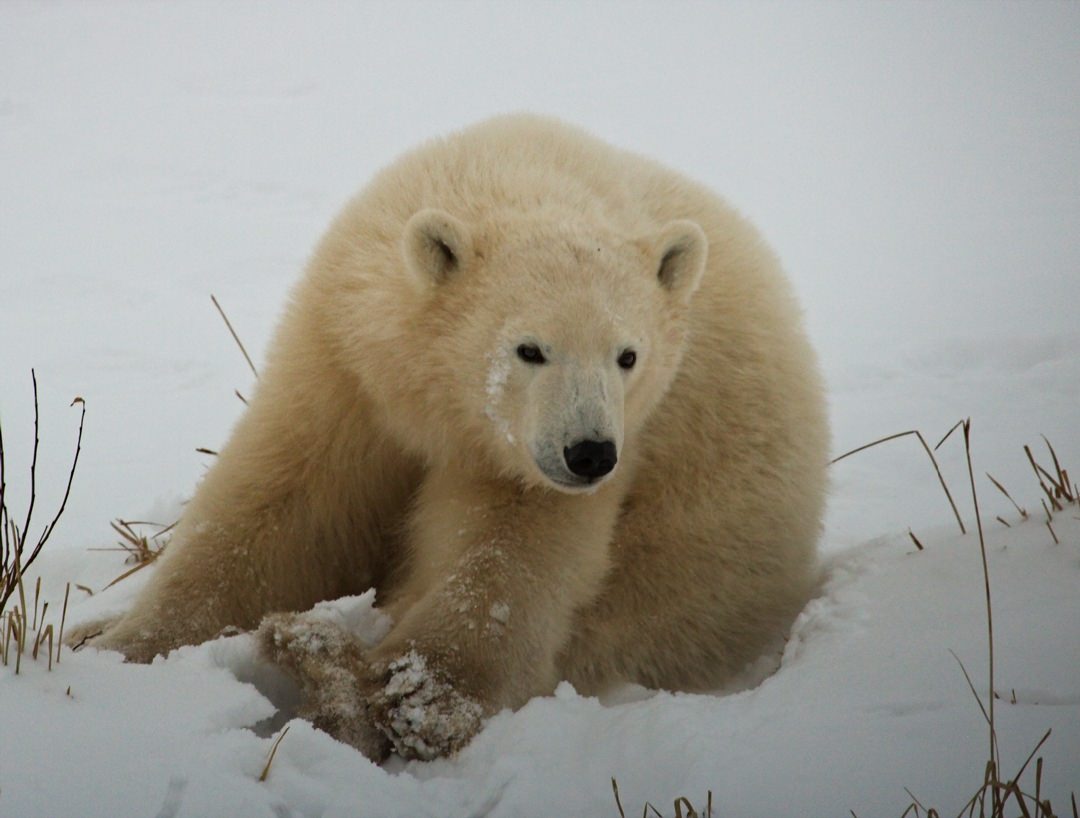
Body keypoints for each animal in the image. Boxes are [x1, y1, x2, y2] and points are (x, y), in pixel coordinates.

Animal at [78, 114, 829, 761]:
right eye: (529, 349)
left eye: (628, 355)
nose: (588, 454)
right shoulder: (348, 361)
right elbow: (280, 507)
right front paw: (125, 650)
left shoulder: (546, 452)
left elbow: (508, 556)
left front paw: (414, 698)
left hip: (693, 570)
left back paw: (325, 667)